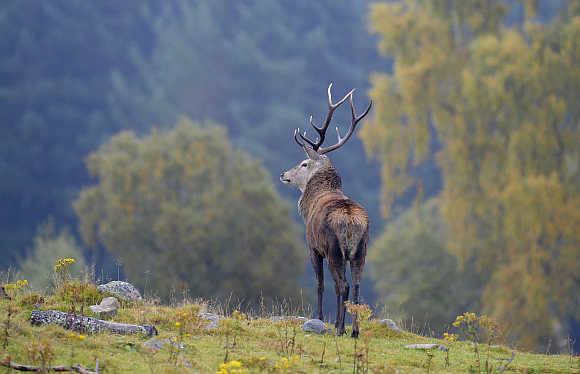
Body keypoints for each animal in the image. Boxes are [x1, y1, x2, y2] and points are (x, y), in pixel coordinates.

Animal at [280, 83, 372, 338]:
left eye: (304, 163)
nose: (284, 174)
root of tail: (351, 221)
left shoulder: (312, 246)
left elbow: (320, 284)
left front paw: (319, 318)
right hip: (361, 250)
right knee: (356, 284)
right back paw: (354, 331)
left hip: (334, 250)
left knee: (342, 285)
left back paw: (340, 328)